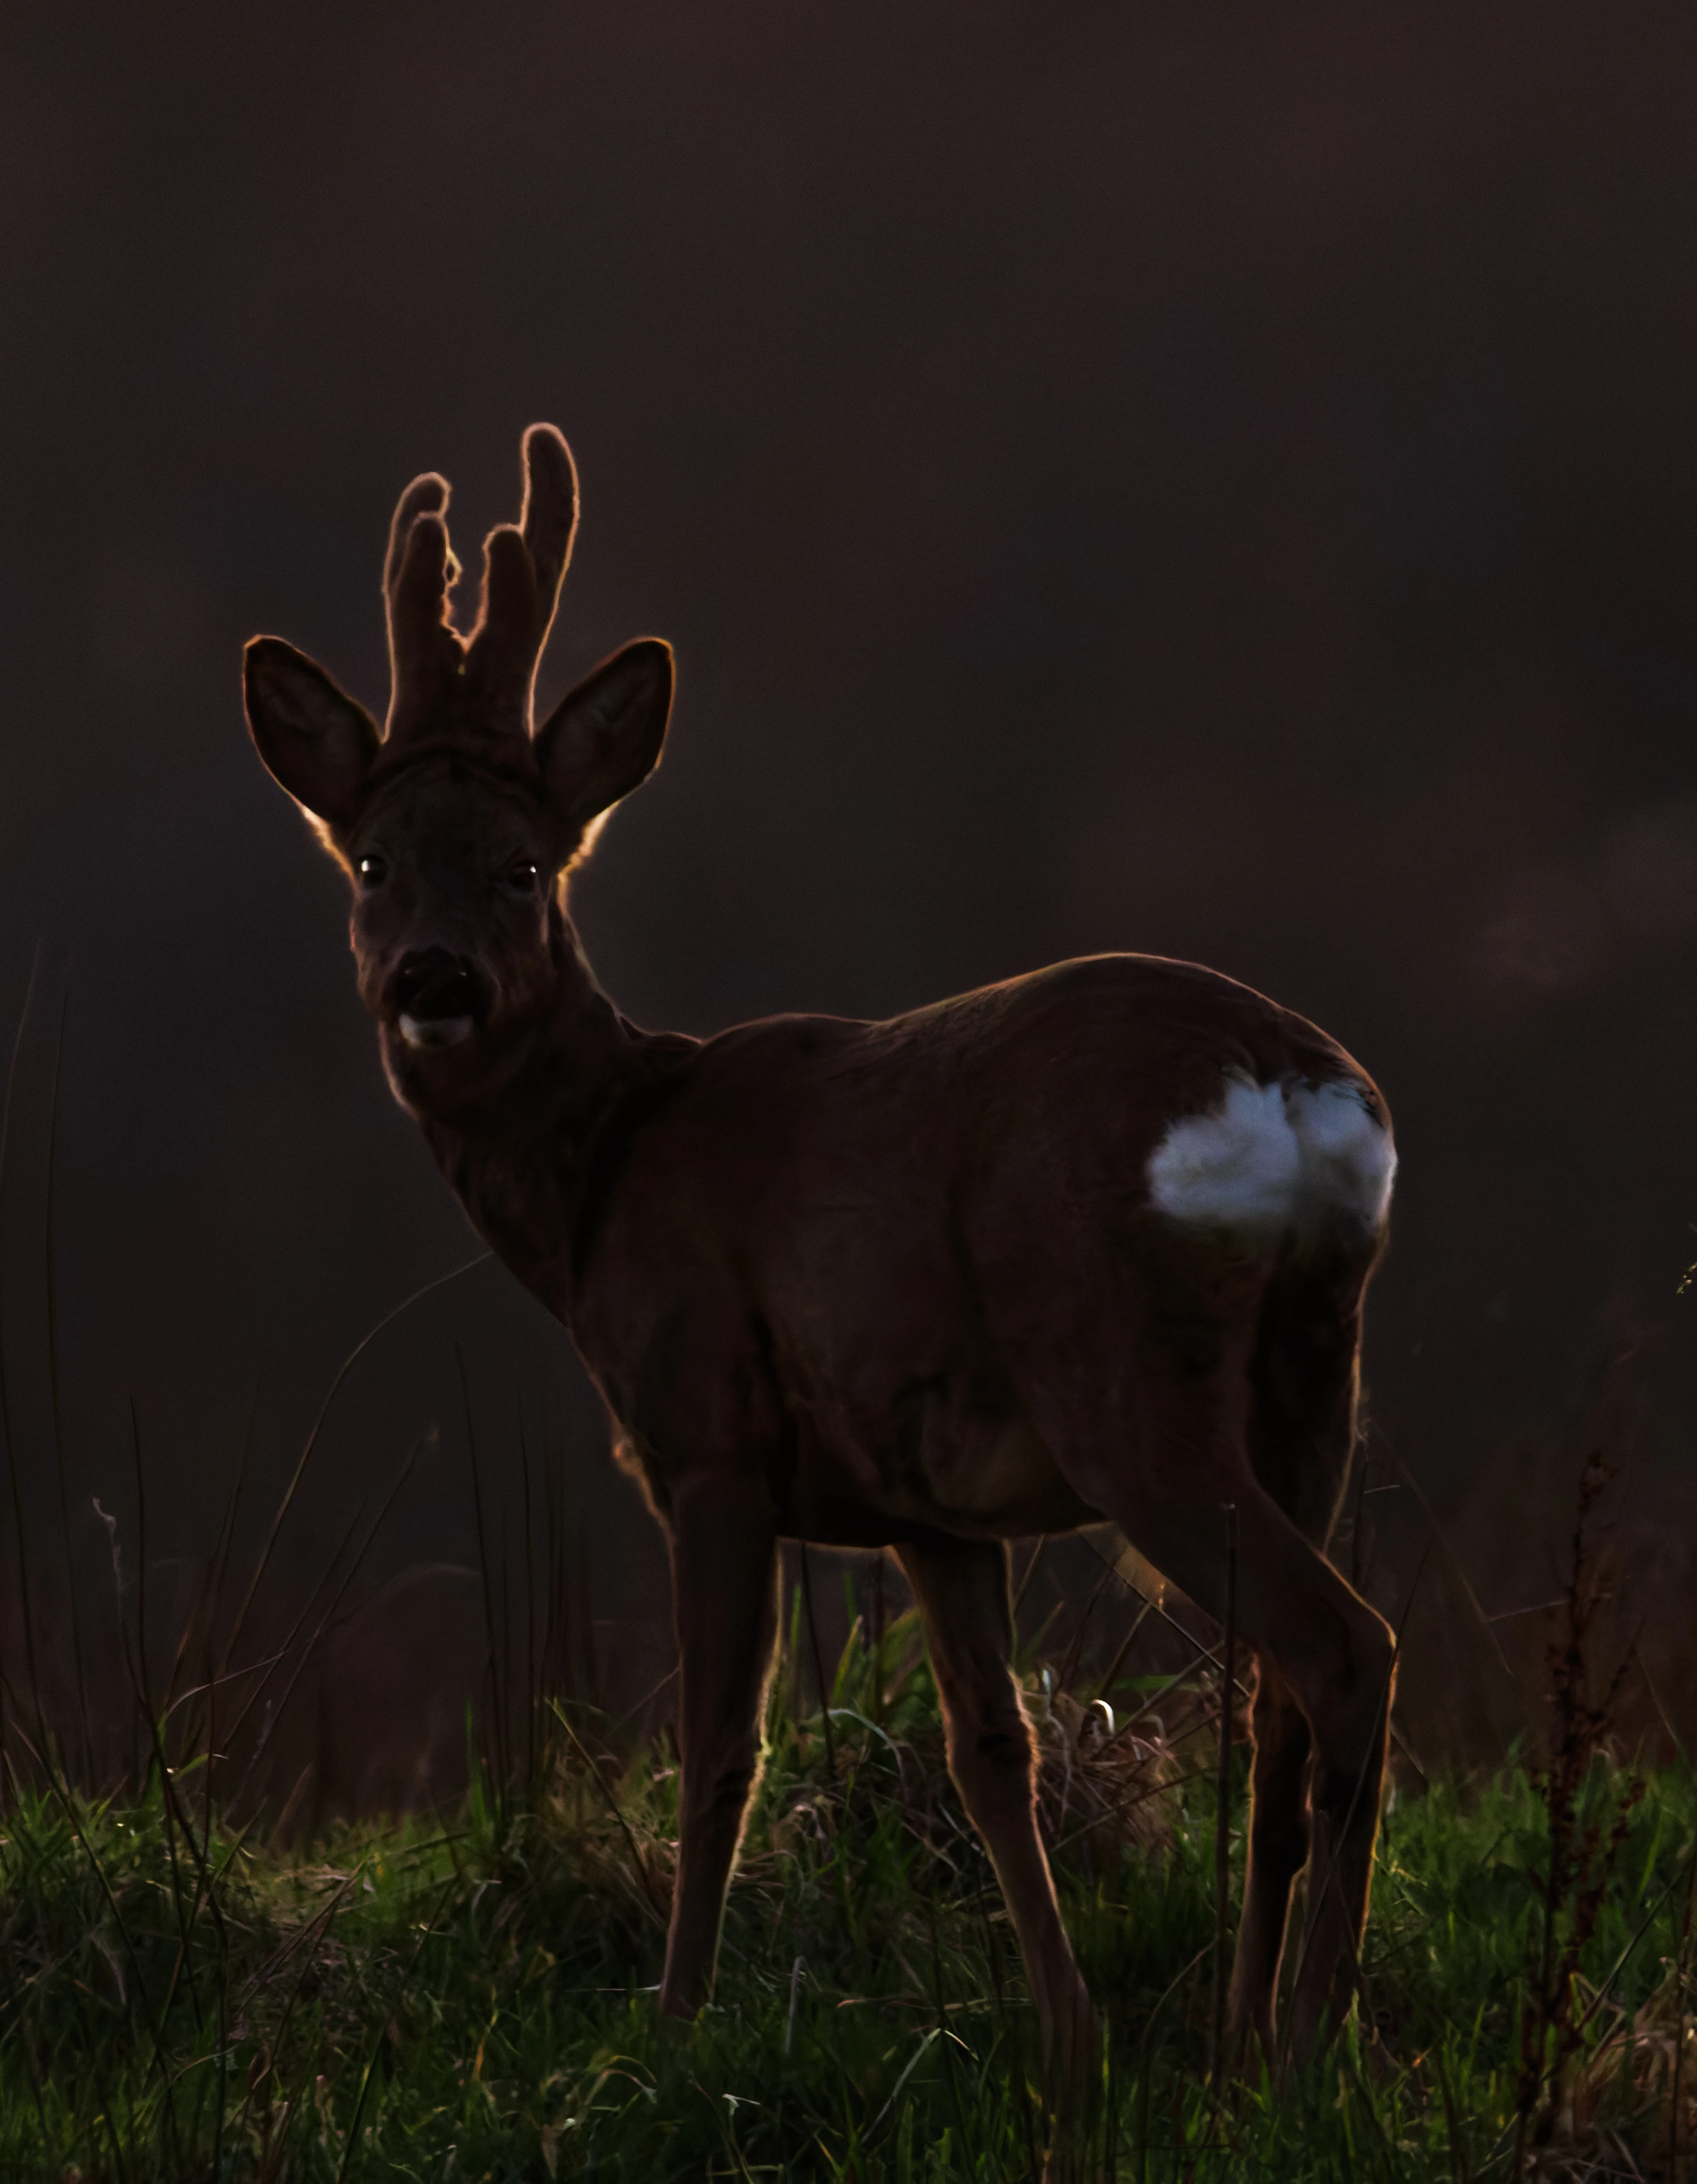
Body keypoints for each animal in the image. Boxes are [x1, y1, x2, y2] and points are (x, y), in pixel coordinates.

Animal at [242, 422, 1398, 2088]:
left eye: (526, 865)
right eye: (374, 860)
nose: (433, 980)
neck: (604, 1174)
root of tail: (1292, 1083)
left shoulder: (710, 1438)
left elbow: (722, 1743)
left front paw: (673, 2021)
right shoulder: (928, 1502)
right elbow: (992, 1750)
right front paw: (1068, 2038)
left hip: (1127, 1378)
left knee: (1344, 1646)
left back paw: (1311, 2043)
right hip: (1314, 1372)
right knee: (1274, 1698)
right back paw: (1242, 2036)